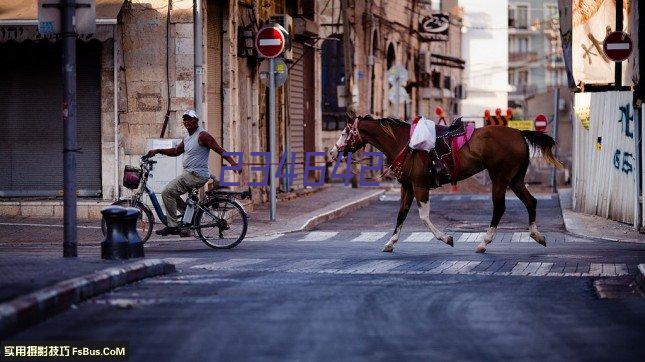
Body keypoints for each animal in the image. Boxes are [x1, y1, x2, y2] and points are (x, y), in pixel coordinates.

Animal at [330, 114, 560, 253]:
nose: (332, 152)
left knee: (500, 208)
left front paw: (446, 238)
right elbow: (401, 214)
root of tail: (520, 133)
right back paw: (537, 235)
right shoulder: (407, 187)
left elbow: (423, 217)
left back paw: (484, 242)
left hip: (500, 179)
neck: (406, 143)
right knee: (531, 202)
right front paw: (390, 242)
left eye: (345, 132)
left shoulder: (420, 186)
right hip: (515, 180)